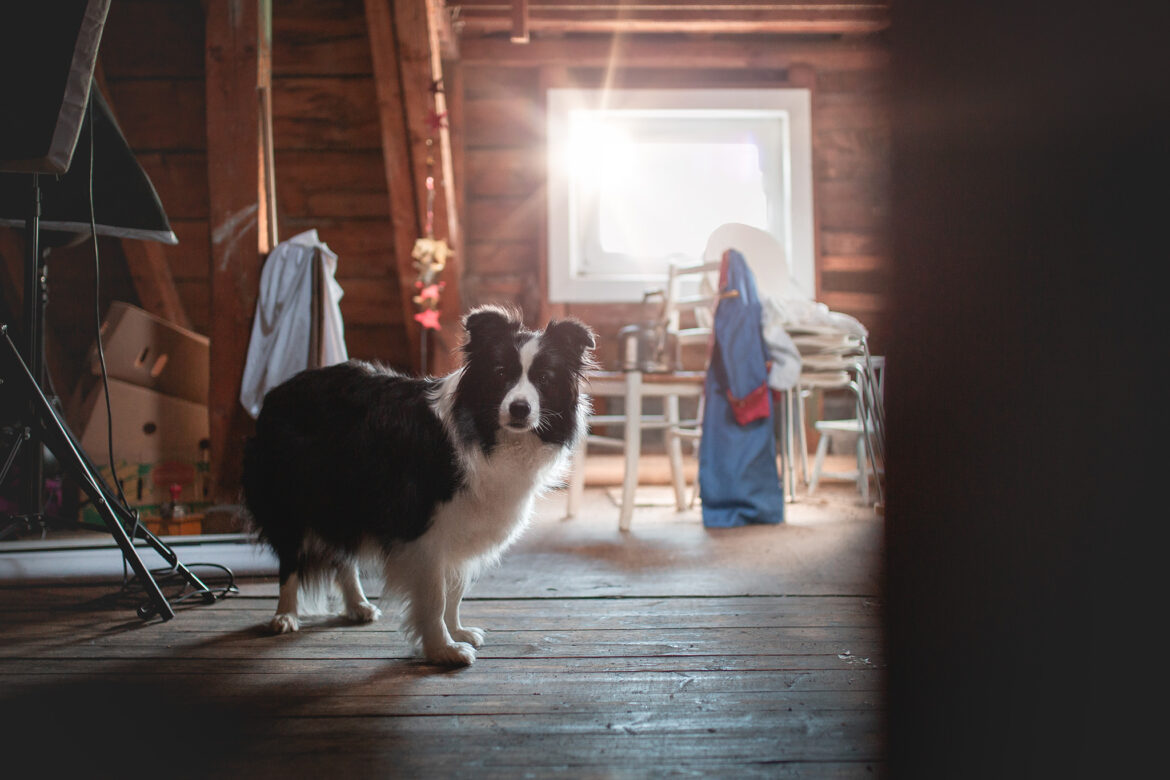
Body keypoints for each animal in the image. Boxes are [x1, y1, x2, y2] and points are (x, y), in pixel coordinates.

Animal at [243, 306, 599, 664]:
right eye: (500, 373)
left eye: (544, 379)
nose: (520, 408)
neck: (489, 436)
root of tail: (278, 391)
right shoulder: (423, 530)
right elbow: (435, 595)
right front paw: (443, 650)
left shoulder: (460, 524)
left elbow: (455, 590)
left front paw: (457, 631)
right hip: (292, 496)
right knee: (290, 558)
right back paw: (285, 615)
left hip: (345, 497)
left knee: (344, 553)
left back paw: (357, 605)